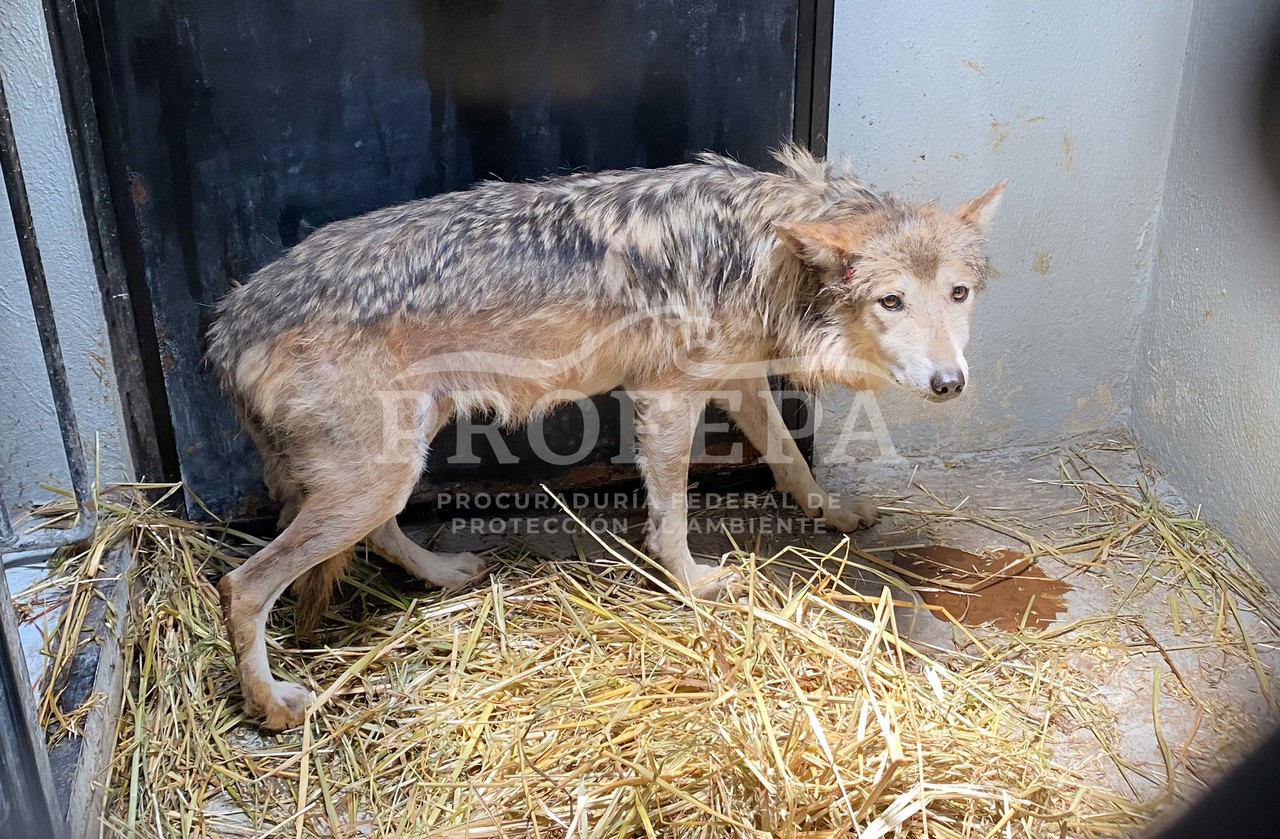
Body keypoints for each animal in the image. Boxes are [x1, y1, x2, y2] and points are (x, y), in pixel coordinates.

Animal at [209, 146, 1003, 727]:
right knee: (242, 586)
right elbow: (672, 510)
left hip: (395, 462)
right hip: (378, 476)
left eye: (958, 294)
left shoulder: (737, 381)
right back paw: (273, 704)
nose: (950, 382)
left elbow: (789, 459)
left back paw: (445, 573)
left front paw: (831, 512)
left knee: (375, 535)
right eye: (891, 301)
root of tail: (229, 323)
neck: (759, 250)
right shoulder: (668, 396)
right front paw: (693, 583)